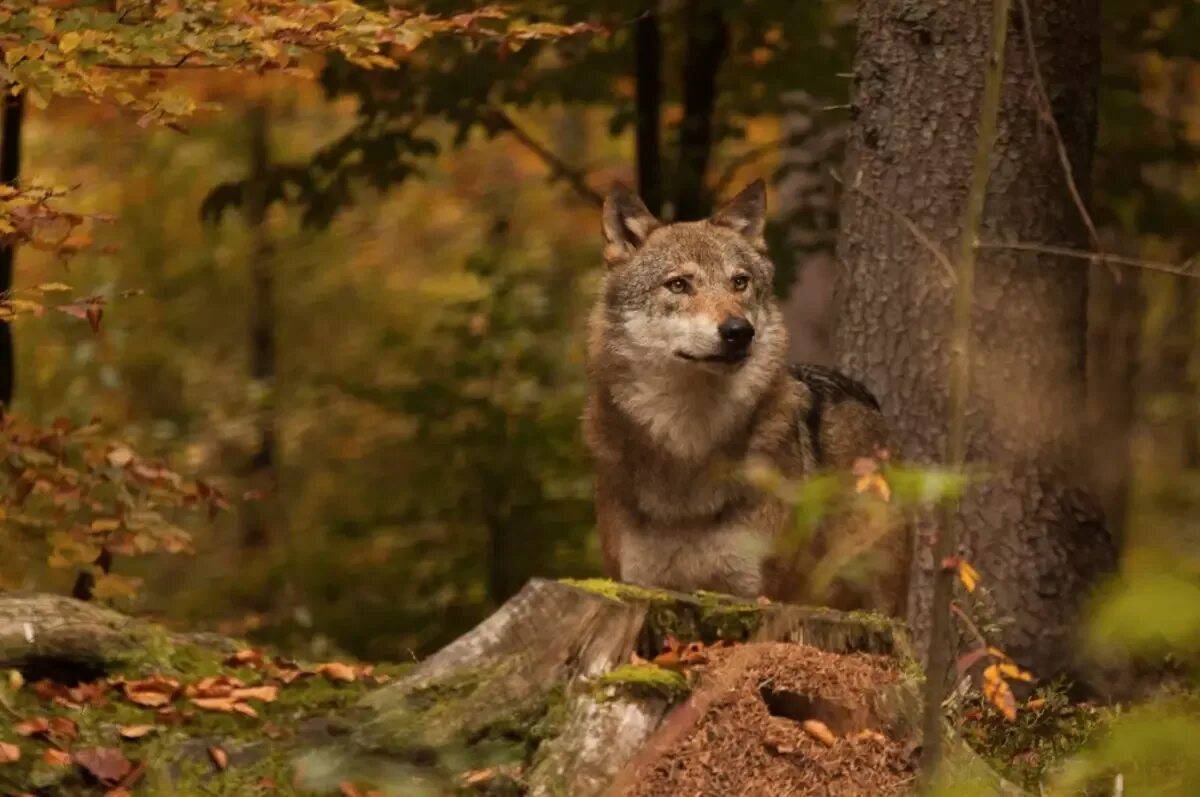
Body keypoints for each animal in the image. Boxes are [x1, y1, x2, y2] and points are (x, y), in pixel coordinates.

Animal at [585, 182, 902, 614]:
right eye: (679, 284)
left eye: (740, 282)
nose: (739, 331)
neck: (688, 443)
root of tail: (863, 394)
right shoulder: (642, 585)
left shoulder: (757, 594)